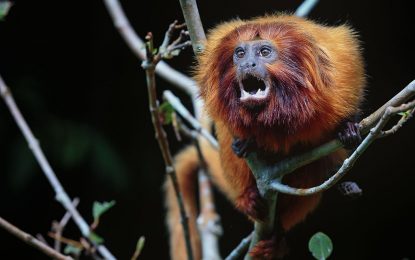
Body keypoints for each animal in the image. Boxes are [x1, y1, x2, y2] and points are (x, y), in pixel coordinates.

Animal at [164, 14, 366, 260]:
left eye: (264, 52)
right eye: (240, 53)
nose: (246, 64)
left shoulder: (339, 77)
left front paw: (347, 128)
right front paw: (245, 143)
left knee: (316, 168)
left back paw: (279, 235)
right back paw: (248, 196)